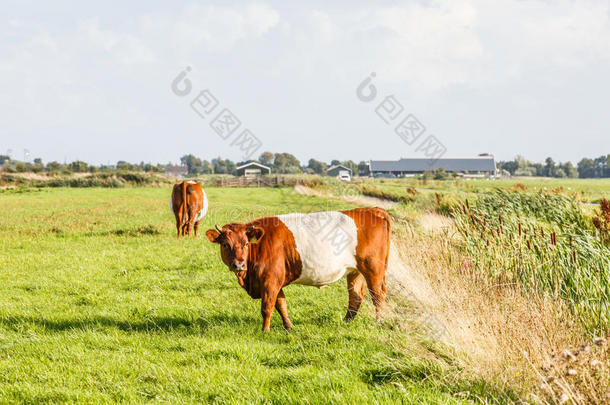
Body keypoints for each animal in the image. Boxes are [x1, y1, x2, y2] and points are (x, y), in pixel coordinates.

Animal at [204, 207, 390, 330]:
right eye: (225, 245)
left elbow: (267, 307)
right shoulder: (275, 281)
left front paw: (265, 330)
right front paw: (289, 327)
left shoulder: (270, 280)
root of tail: (372, 210)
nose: (238, 264)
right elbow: (281, 305)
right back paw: (346, 322)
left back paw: (379, 322)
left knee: (378, 296)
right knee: (356, 296)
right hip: (354, 271)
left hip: (373, 270)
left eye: (245, 244)